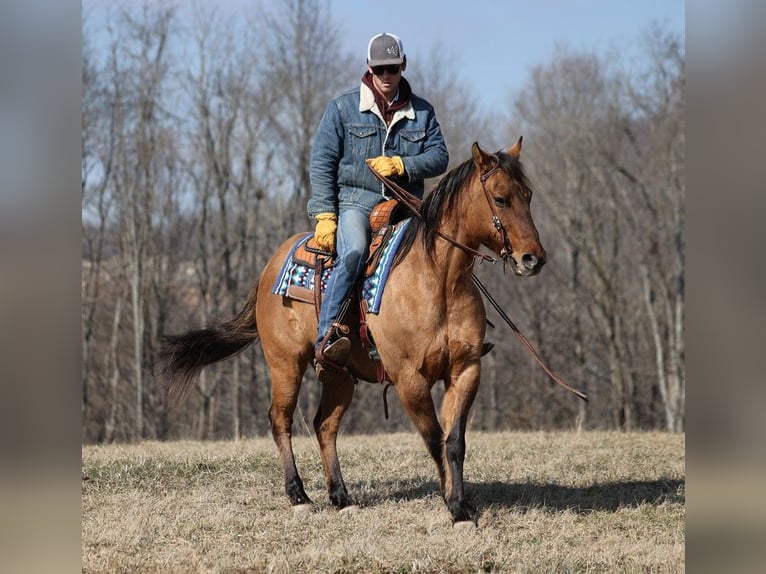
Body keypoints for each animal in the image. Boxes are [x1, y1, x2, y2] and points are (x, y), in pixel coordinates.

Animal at [160, 140, 544, 528]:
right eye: (500, 199)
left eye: (528, 195)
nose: (533, 259)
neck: (438, 279)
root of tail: (271, 265)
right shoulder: (410, 379)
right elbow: (434, 439)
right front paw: (452, 505)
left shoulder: (465, 371)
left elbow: (454, 442)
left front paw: (462, 505)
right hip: (285, 364)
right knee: (281, 419)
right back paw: (298, 495)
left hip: (338, 375)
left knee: (324, 425)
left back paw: (341, 497)